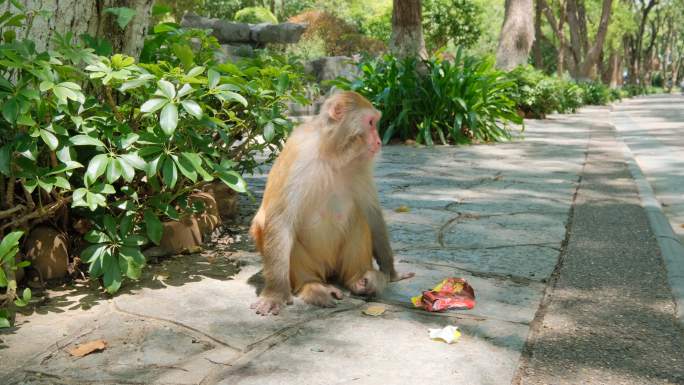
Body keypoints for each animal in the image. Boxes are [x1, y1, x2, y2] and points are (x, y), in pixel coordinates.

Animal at [250, 91, 414, 316]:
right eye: (371, 123)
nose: (380, 141)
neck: (332, 153)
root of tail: (328, 272)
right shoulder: (299, 153)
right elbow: (280, 219)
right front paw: (275, 294)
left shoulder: (361, 166)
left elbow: (372, 214)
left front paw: (391, 272)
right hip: (314, 264)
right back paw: (313, 286)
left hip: (338, 264)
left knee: (360, 218)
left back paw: (357, 280)